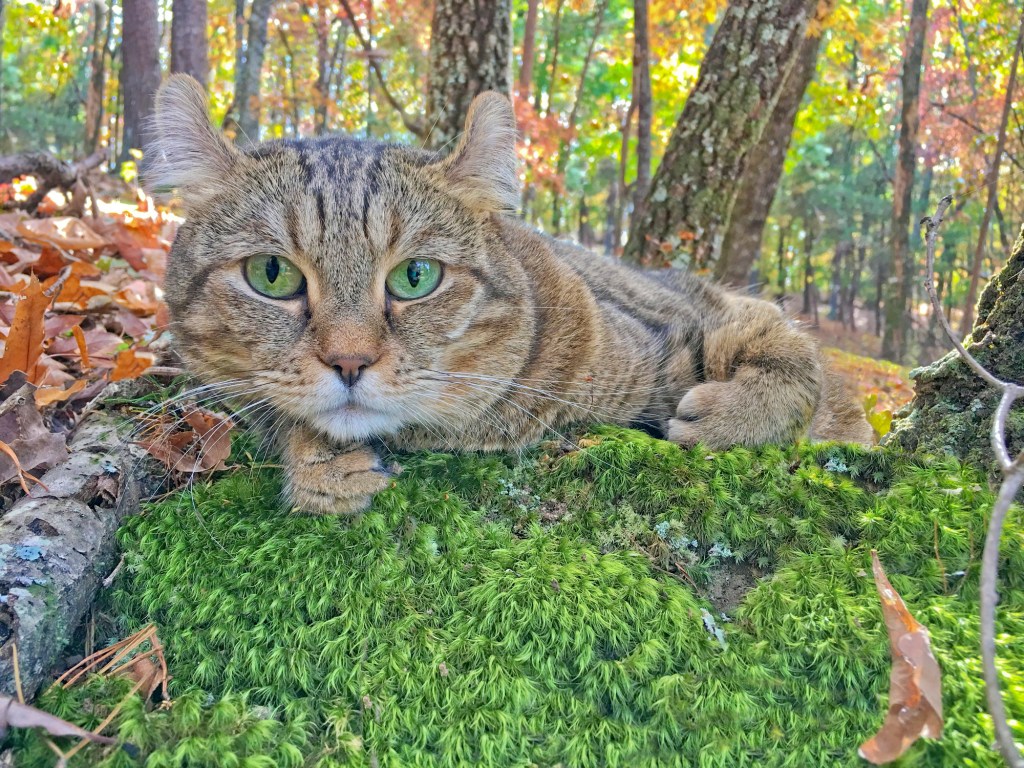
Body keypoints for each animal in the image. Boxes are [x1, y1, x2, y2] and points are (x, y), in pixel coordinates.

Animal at [146, 75, 872, 518]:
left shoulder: (710, 316)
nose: (349, 361)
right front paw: (314, 462)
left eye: (416, 277)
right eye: (271, 274)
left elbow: (794, 360)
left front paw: (734, 418)